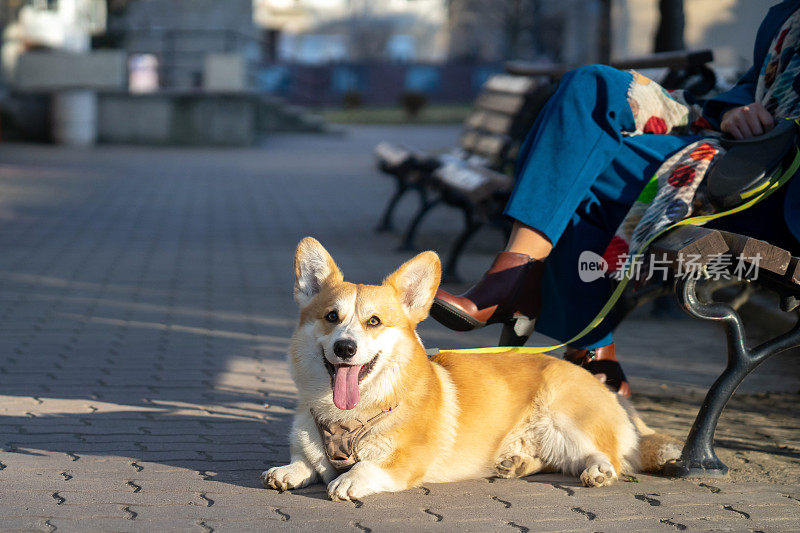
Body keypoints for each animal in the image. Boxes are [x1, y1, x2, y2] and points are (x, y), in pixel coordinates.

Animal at [264, 239, 680, 500]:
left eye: (374, 322)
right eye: (332, 317)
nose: (344, 348)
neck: (350, 417)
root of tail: (604, 386)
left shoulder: (405, 462)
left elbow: (367, 467)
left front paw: (348, 480)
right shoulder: (312, 446)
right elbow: (306, 461)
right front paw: (288, 471)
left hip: (566, 417)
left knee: (610, 455)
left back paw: (598, 471)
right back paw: (516, 463)